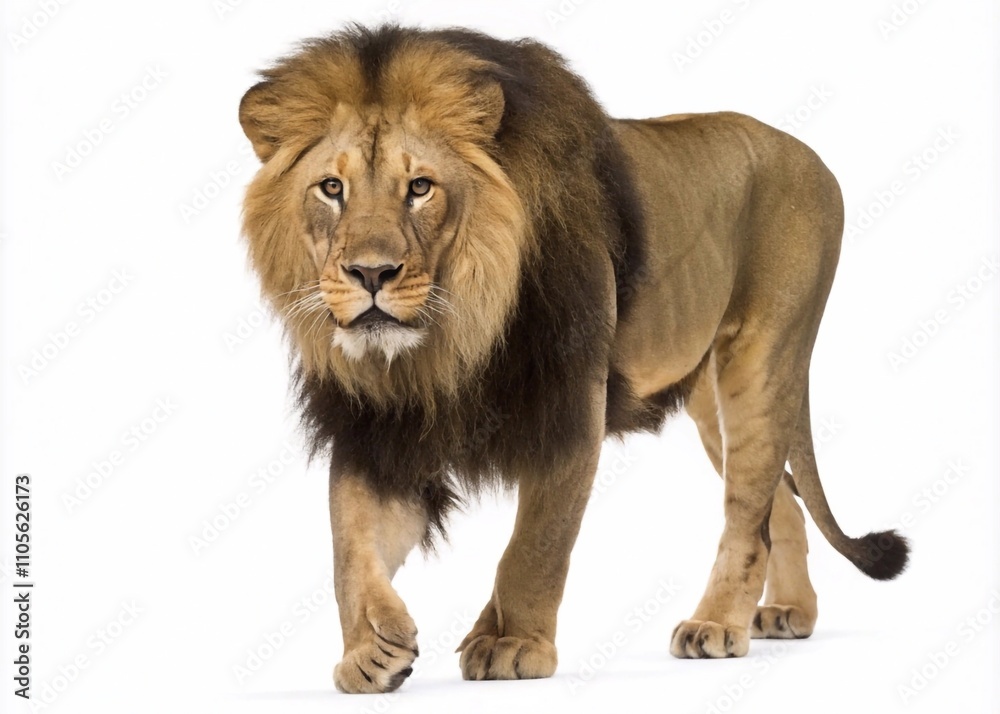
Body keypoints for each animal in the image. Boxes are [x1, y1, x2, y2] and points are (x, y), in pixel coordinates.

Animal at [238, 25, 909, 693]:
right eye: (332, 188)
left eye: (420, 187)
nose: (372, 273)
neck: (446, 343)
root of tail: (808, 152)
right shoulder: (377, 428)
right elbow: (348, 542)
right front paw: (368, 650)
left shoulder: (572, 401)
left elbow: (537, 543)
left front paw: (510, 642)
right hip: (708, 401)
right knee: (780, 503)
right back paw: (789, 611)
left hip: (764, 361)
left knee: (747, 513)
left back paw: (716, 624)